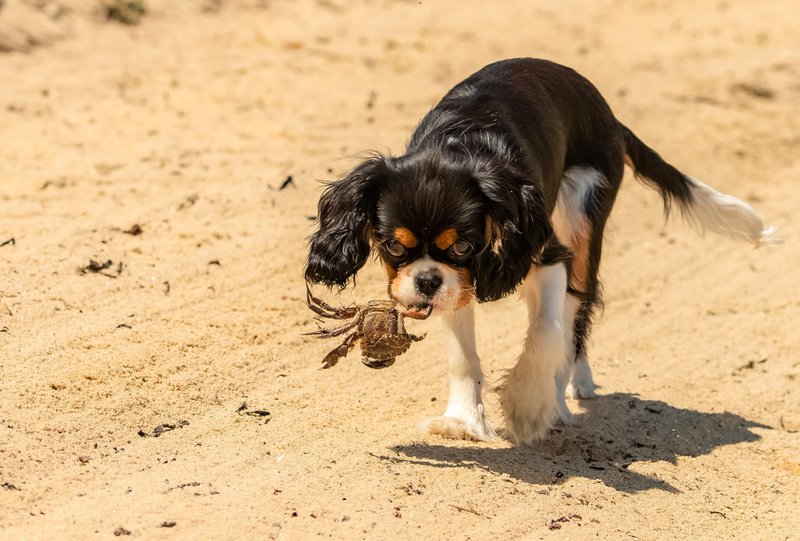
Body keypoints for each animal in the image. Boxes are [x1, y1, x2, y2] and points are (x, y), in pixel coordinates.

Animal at [304, 58, 780, 442]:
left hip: (582, 218)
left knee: (576, 312)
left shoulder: (546, 254)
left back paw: (562, 395)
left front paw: (529, 407)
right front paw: (462, 421)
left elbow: (547, 331)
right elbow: (463, 356)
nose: (425, 281)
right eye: (392, 246)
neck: (460, 148)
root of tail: (609, 116)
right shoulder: (458, 287)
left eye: (462, 245)